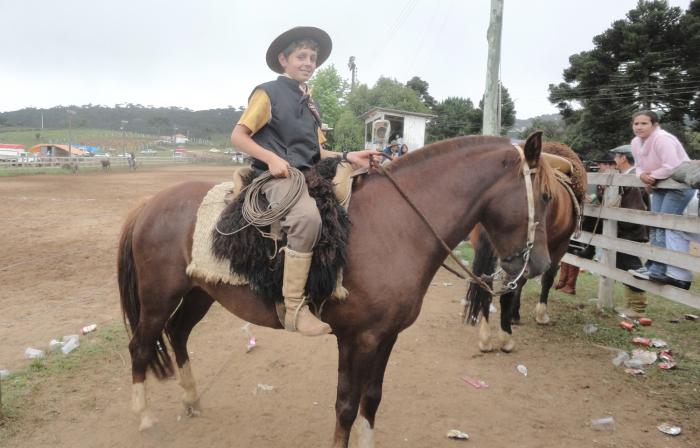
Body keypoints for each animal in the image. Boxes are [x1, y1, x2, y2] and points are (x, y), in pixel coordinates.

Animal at [119, 132, 552, 444]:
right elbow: (346, 404)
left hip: (199, 293)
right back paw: (145, 420)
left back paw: (192, 400)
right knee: (140, 346)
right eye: (546, 196)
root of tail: (149, 203)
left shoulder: (386, 337)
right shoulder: (355, 338)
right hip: (158, 298)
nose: (542, 265)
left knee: (178, 333)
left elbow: (371, 399)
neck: (399, 226)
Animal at [462, 144, 584, 354]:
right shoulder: (558, 246)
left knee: (487, 285)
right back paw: (505, 338)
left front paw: (515, 314)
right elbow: (547, 279)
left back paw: (486, 337)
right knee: (506, 290)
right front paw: (541, 315)